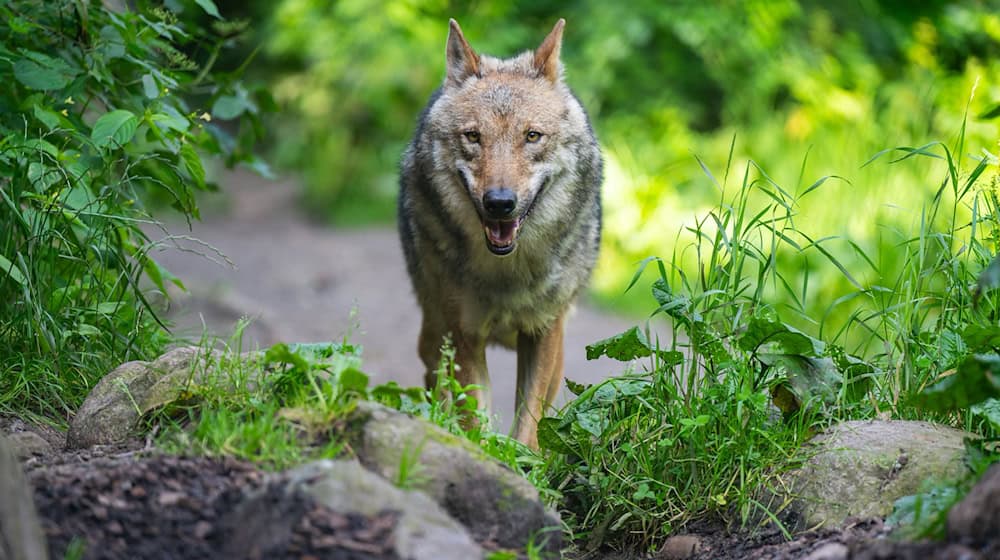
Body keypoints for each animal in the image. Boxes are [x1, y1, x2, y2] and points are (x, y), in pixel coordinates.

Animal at [398, 18, 600, 446]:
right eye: (474, 136)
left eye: (532, 136)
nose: (500, 203)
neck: (508, 274)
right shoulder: (464, 334)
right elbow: (474, 420)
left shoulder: (544, 332)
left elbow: (529, 424)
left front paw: (521, 460)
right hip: (434, 334)